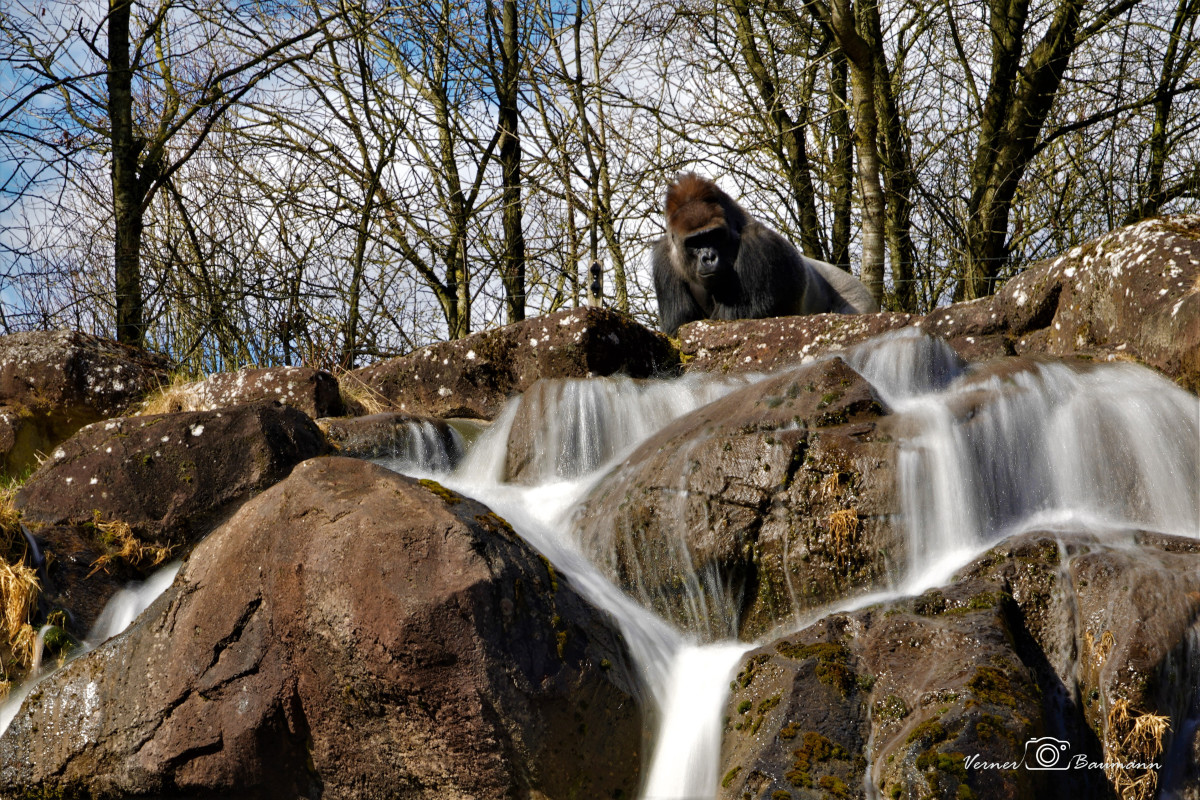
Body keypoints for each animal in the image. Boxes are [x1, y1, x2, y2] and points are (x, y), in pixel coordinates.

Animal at [651, 173, 879, 336]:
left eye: (714, 235)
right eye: (694, 242)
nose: (708, 258)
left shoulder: (761, 243)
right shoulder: (664, 257)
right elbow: (679, 326)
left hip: (859, 299)